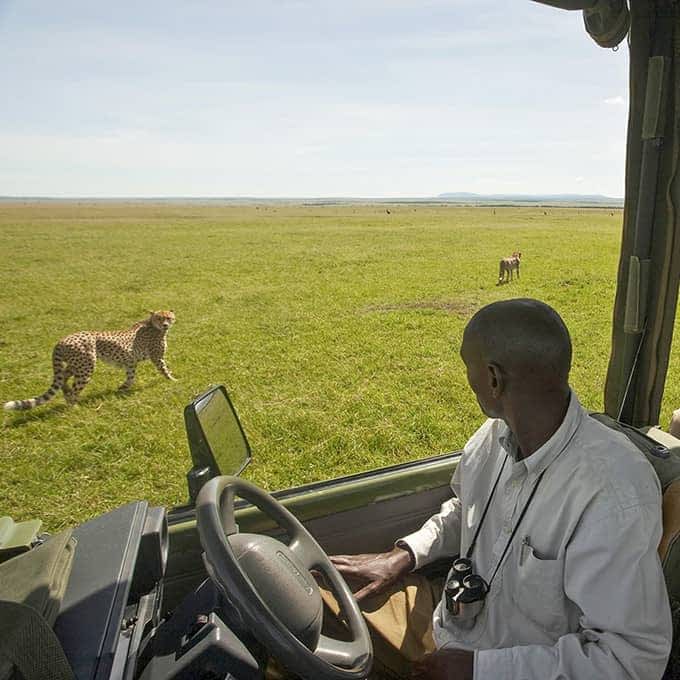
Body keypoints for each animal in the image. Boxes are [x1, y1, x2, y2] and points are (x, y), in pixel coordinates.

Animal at [3, 308, 178, 410]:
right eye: (160, 318)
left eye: (169, 318)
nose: (165, 325)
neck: (152, 325)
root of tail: (61, 341)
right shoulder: (157, 358)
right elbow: (165, 369)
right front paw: (173, 380)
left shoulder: (130, 362)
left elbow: (130, 376)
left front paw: (123, 388)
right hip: (86, 368)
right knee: (74, 388)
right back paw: (73, 407)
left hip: (76, 364)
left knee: (63, 378)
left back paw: (66, 392)